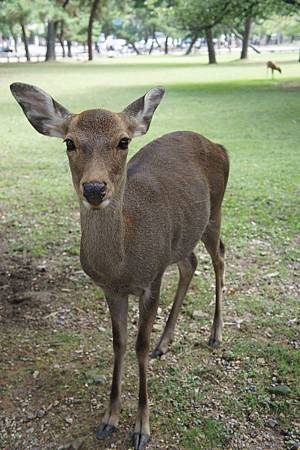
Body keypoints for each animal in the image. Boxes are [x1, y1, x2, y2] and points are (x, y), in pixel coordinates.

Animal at [9, 82, 230, 448]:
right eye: (69, 142)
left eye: (123, 141)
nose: (95, 188)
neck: (122, 265)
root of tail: (219, 145)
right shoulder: (111, 289)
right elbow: (119, 343)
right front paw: (108, 419)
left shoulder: (152, 278)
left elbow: (138, 345)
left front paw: (142, 428)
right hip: (181, 238)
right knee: (190, 262)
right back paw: (164, 343)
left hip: (214, 213)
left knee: (220, 256)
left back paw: (214, 334)